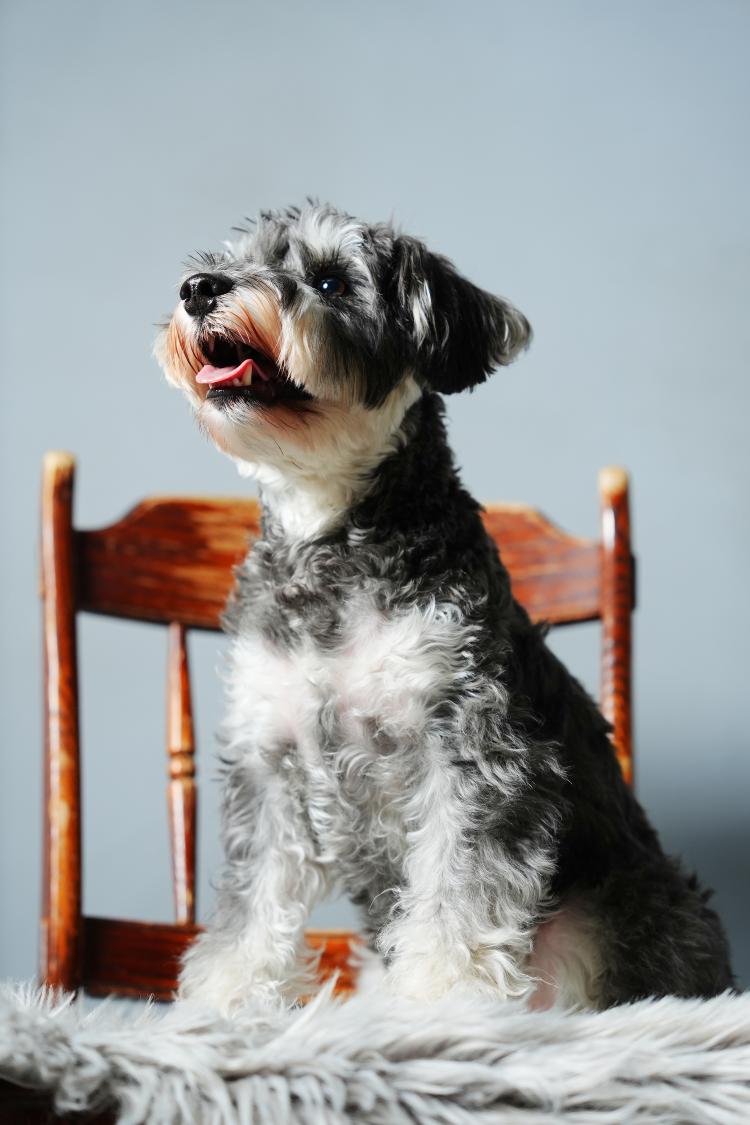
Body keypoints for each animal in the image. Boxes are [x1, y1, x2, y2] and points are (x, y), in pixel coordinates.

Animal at [156, 201, 733, 1014]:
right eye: (236, 259)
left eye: (330, 280)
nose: (200, 287)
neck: (331, 534)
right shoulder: (272, 759)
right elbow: (254, 895)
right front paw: (230, 993)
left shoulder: (471, 747)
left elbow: (462, 885)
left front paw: (443, 995)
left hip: (611, 917)